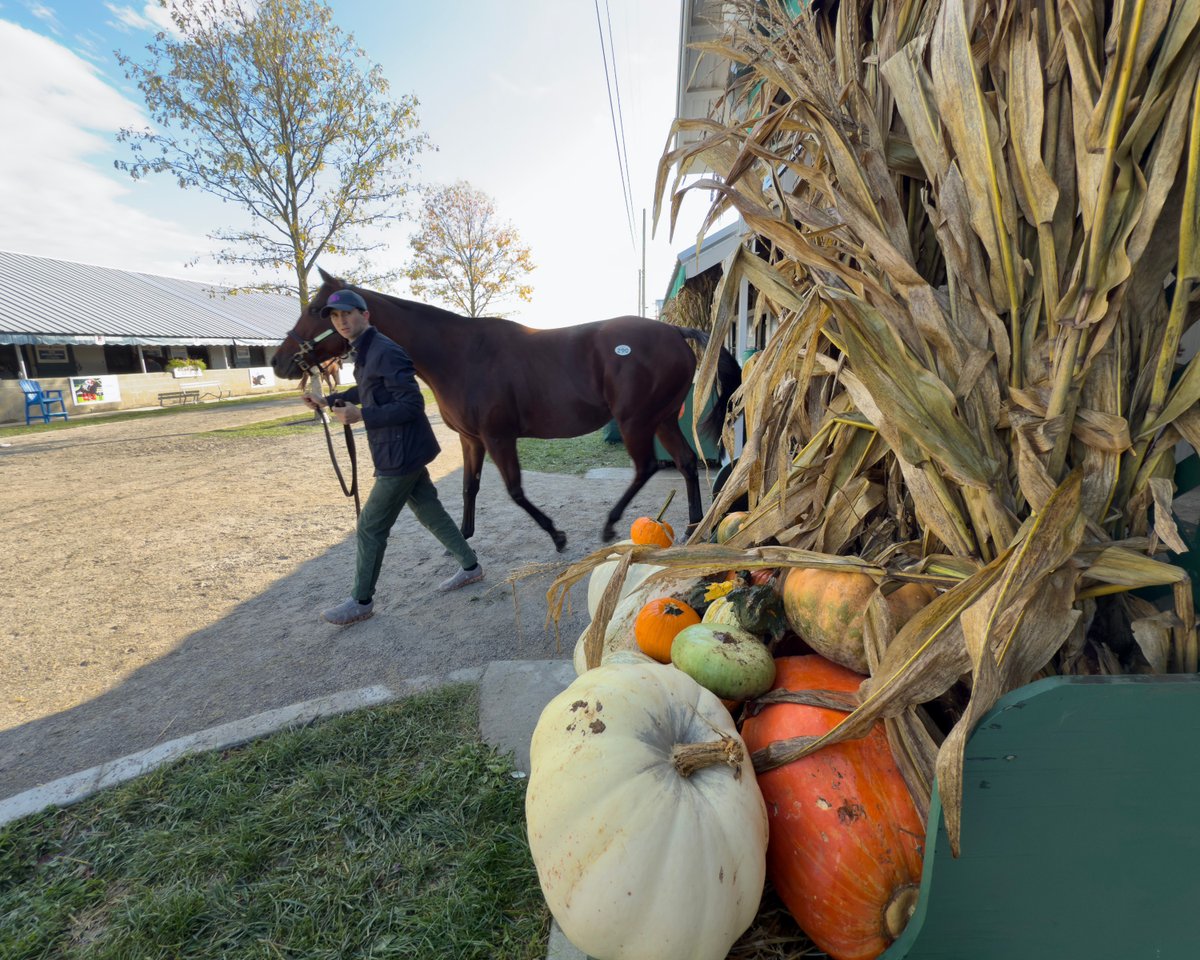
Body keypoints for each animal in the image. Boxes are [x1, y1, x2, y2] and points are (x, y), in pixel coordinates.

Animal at [272, 268, 741, 551]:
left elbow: (515, 491)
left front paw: (557, 535)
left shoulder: (499, 437)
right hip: (661, 418)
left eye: (316, 309)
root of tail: (675, 331)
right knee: (685, 463)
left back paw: (611, 525)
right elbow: (469, 488)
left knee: (646, 467)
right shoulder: (471, 439)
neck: (460, 355)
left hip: (635, 421)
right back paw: (692, 526)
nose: (280, 362)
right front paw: (462, 539)